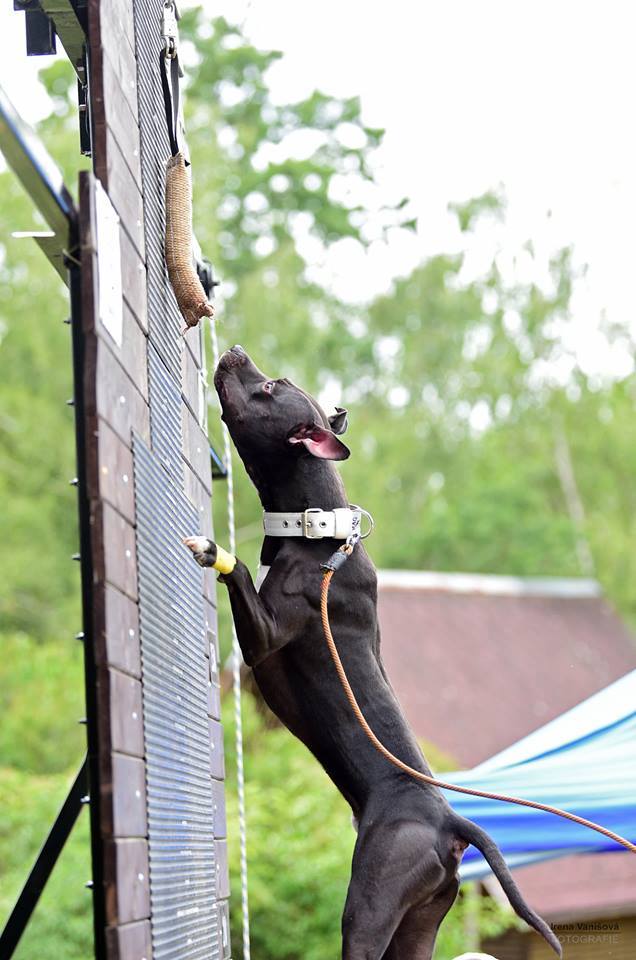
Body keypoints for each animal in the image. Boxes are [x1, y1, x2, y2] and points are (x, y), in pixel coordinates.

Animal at [183, 346, 556, 960]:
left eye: (272, 387)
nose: (235, 351)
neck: (320, 532)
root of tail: (451, 823)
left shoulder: (264, 636)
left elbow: (237, 574)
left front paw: (213, 549)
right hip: (421, 920)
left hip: (368, 908)